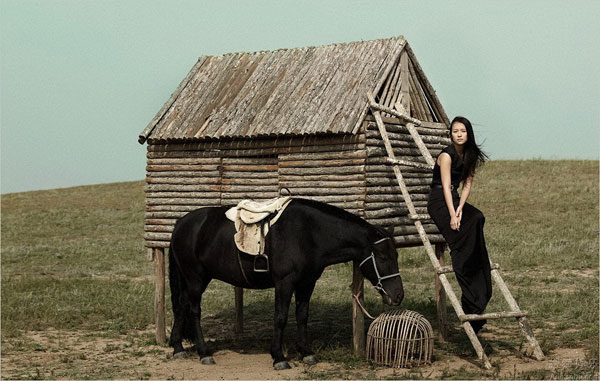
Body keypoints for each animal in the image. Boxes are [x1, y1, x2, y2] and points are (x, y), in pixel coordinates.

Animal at [166, 199, 406, 368]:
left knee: (181, 307)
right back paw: (204, 353)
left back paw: (178, 347)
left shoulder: (307, 283)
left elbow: (302, 316)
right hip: (195, 279)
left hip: (193, 280)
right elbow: (280, 318)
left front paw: (306, 352)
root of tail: (180, 224)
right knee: (194, 311)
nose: (398, 295)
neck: (309, 234)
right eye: (382, 257)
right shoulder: (284, 283)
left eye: (396, 255)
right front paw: (279, 357)